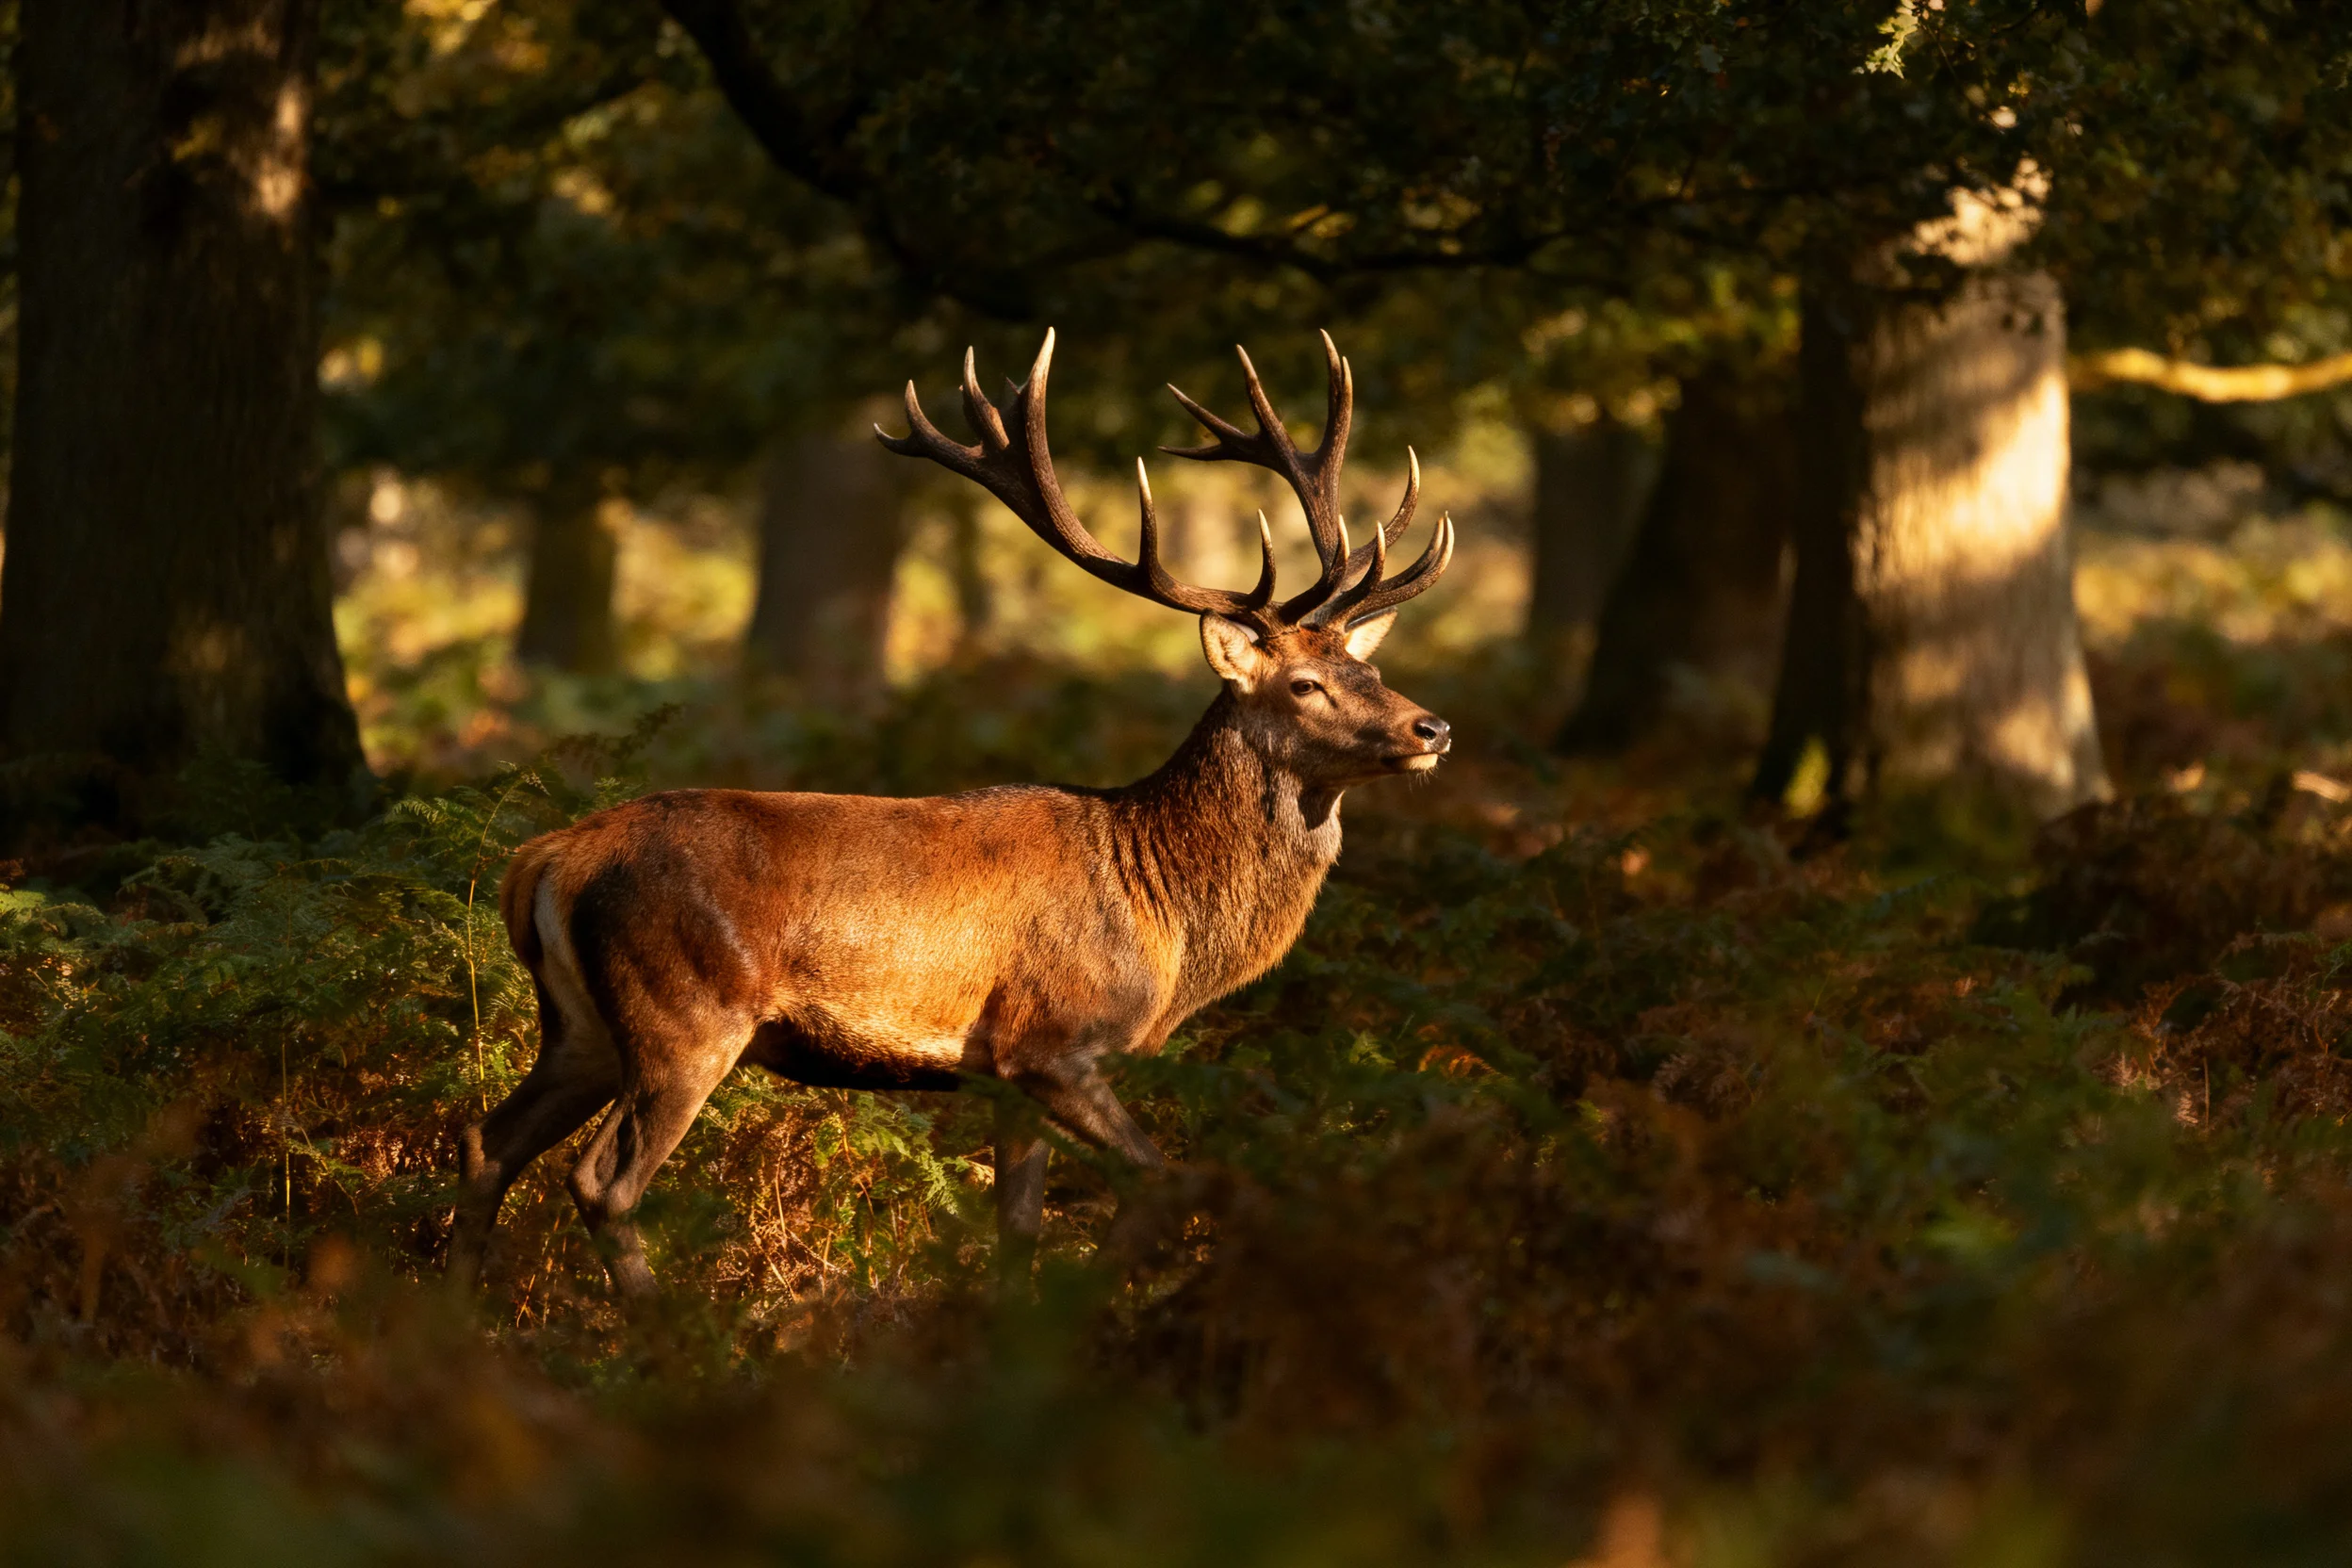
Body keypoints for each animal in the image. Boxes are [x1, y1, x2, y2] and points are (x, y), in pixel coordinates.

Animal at [449, 330, 1455, 1296]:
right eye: (1305, 683)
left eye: (1370, 668)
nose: (1432, 726)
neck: (1162, 912)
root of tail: (545, 860)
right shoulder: (1052, 1043)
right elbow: (1163, 1180)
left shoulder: (1007, 1081)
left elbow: (1020, 1229)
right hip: (683, 1012)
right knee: (600, 1180)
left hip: (578, 1024)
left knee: (486, 1141)